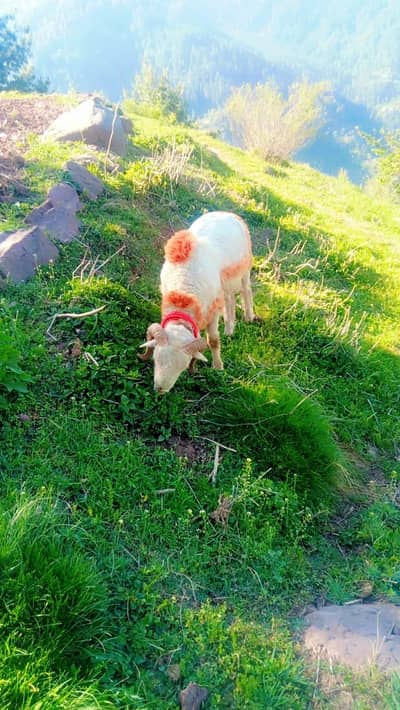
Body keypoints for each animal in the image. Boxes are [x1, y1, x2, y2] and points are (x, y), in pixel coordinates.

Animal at [139, 210, 255, 393]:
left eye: (183, 366)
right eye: (156, 358)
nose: (160, 389)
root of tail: (226, 213)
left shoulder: (212, 312)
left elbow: (213, 341)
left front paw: (218, 368)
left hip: (245, 269)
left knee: (246, 291)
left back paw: (249, 317)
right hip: (224, 285)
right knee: (229, 299)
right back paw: (229, 330)